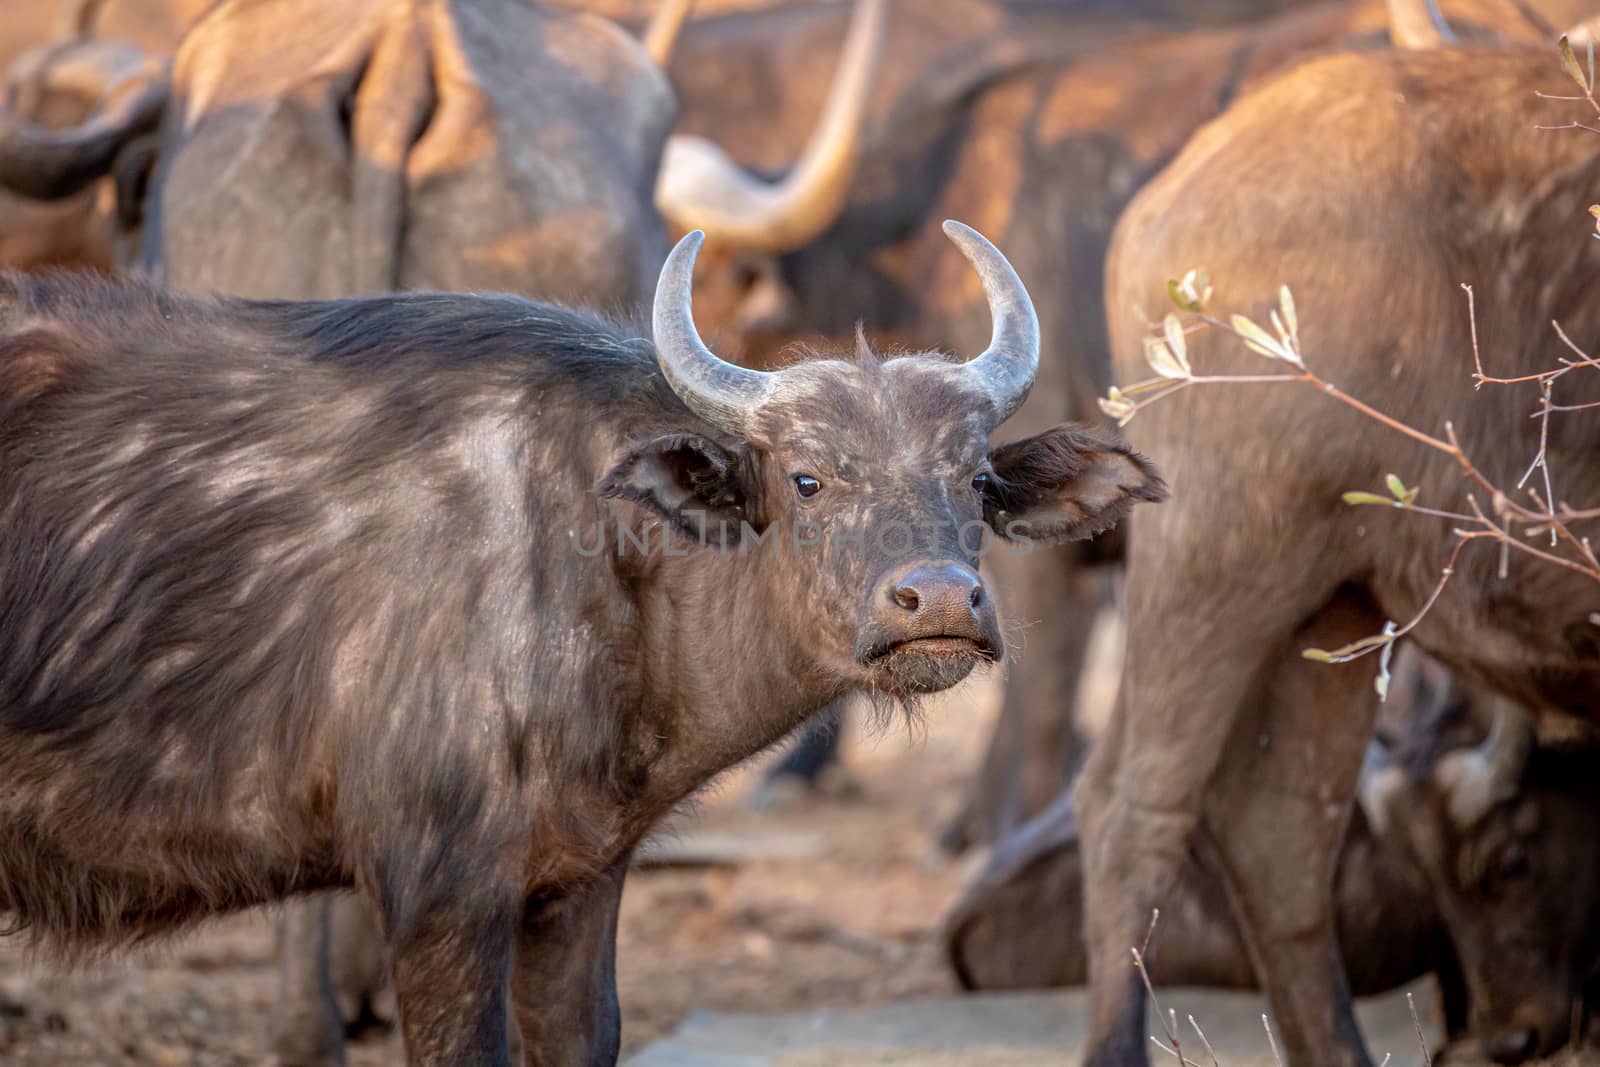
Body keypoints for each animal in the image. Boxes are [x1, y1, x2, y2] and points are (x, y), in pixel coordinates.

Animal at [1088, 10, 1600, 1067]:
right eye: (1506, 863)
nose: (1510, 1036)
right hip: (1213, 562)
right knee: (1129, 815)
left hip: (1334, 604)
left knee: (1279, 829)